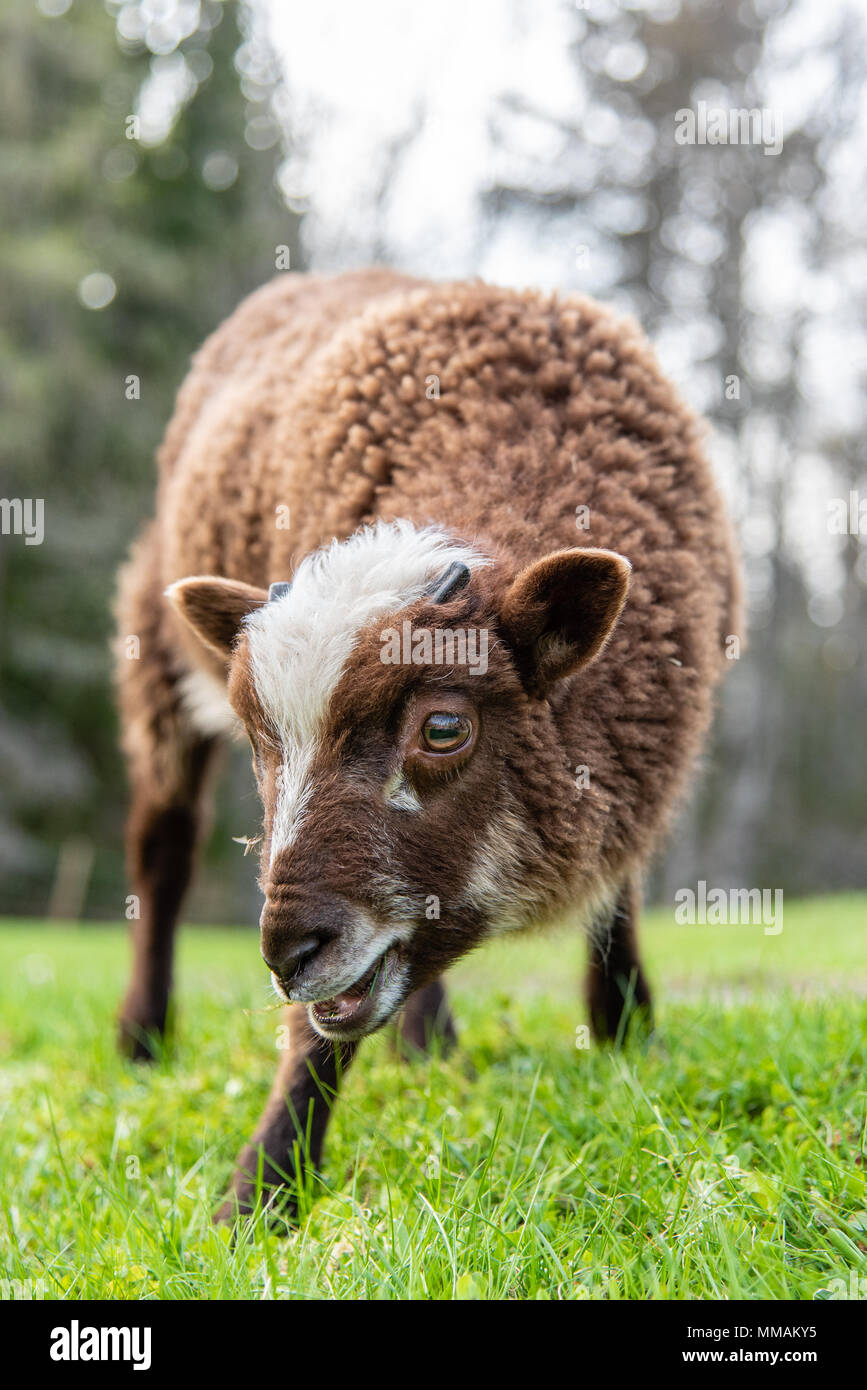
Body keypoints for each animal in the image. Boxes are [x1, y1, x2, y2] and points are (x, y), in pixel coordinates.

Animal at [114, 267, 743, 1221]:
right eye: (262, 739)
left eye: (443, 728)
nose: (284, 951)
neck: (509, 443)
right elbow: (315, 1029)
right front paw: (262, 1191)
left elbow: (616, 895)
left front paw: (627, 1034)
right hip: (153, 644)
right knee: (163, 850)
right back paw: (143, 1039)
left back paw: (427, 1048)